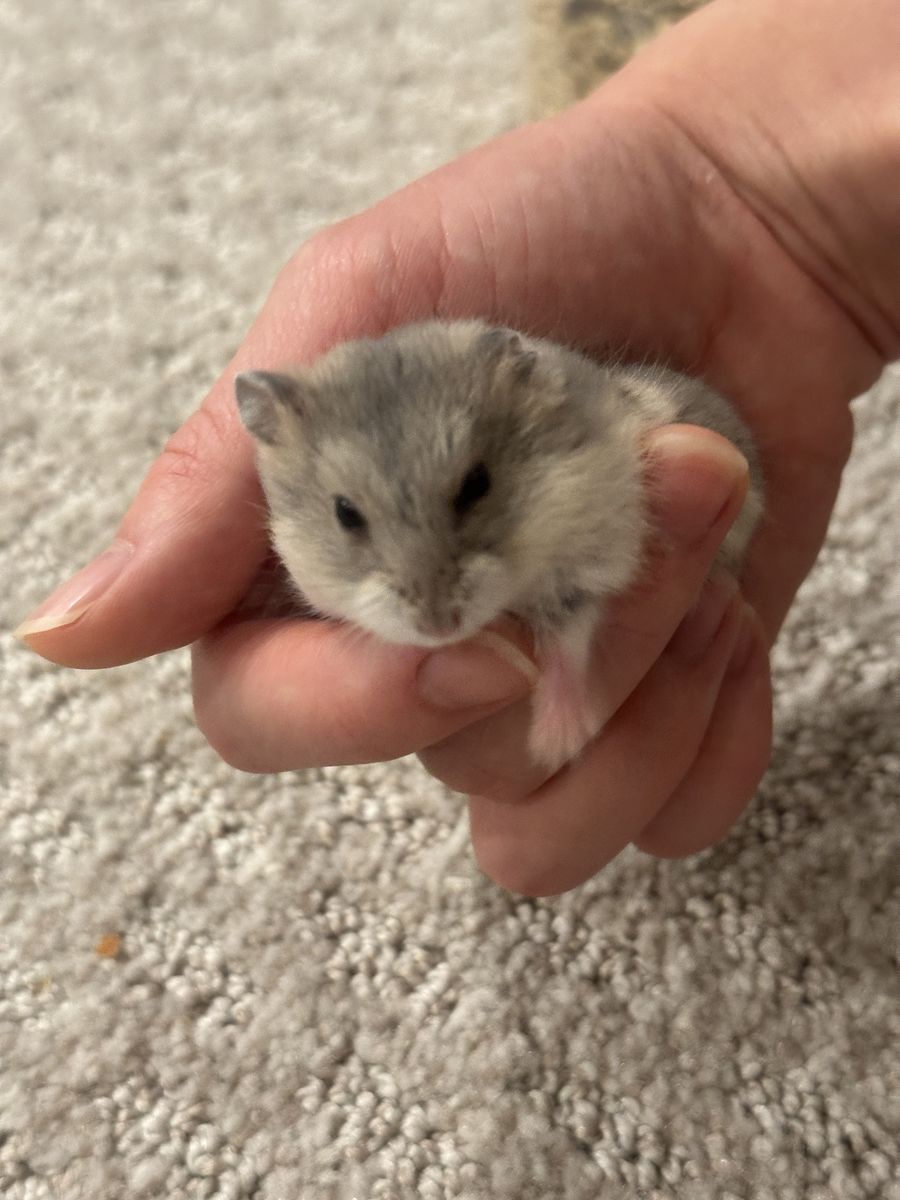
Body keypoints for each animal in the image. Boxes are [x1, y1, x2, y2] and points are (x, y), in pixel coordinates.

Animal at [234, 319, 763, 771]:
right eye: (344, 512)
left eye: (476, 484)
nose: (439, 628)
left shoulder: (590, 561)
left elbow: (568, 640)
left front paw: (555, 746)